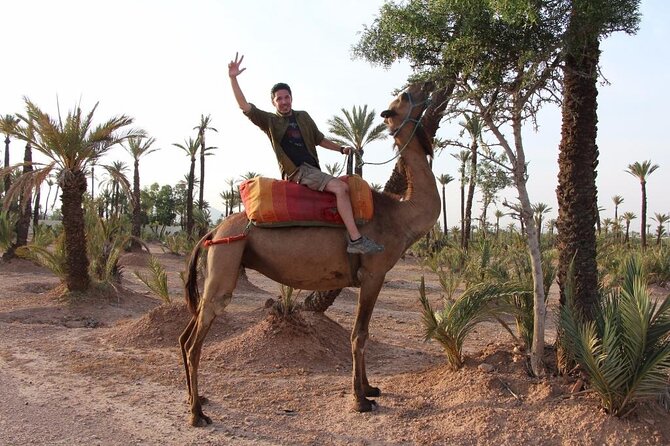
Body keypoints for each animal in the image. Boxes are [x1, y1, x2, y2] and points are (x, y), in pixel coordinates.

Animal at [179, 81, 440, 426]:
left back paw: (196, 399)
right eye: (405, 96)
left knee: (186, 334)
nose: (428, 84)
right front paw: (360, 400)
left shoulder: (371, 277)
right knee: (196, 341)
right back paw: (198, 413)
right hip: (226, 258)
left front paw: (370, 388)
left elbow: (363, 333)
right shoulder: (374, 273)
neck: (400, 216)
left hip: (219, 261)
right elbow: (359, 334)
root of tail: (212, 232)